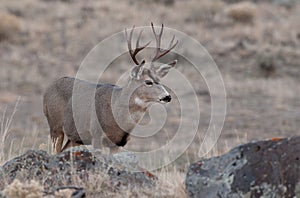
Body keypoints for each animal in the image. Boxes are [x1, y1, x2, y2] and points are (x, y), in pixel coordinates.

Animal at [42, 22, 178, 153]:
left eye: (160, 80)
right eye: (148, 82)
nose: (167, 97)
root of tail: (48, 89)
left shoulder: (118, 144)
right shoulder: (96, 135)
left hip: (75, 138)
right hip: (55, 125)